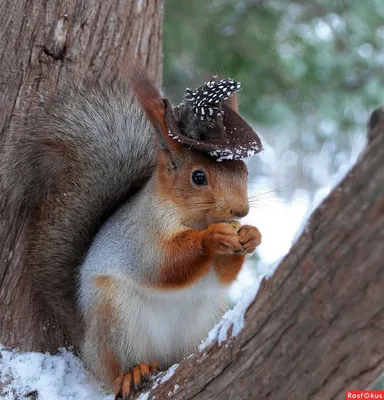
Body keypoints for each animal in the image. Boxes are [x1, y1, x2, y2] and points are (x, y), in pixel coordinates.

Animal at [2, 64, 260, 398]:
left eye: (244, 171)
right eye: (199, 177)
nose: (241, 211)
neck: (194, 219)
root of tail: (88, 349)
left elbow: (221, 275)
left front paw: (252, 235)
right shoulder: (141, 235)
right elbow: (165, 265)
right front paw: (213, 237)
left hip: (205, 317)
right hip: (116, 318)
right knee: (117, 369)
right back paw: (132, 372)